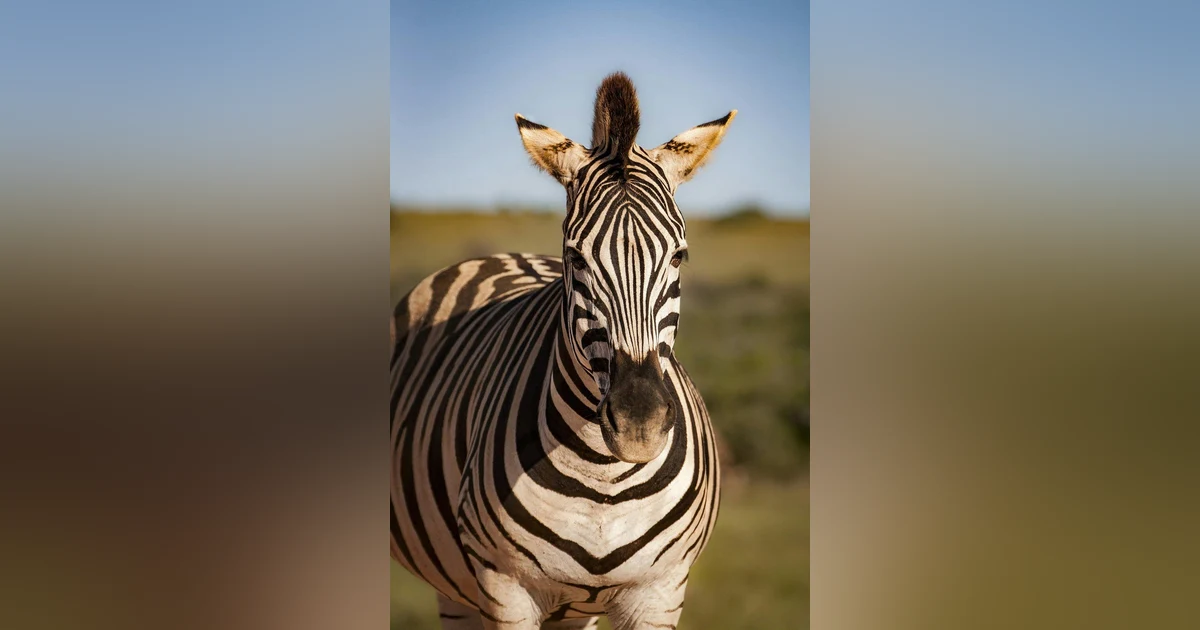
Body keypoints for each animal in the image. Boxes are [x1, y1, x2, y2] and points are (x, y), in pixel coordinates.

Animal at [391, 72, 736, 630]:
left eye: (679, 255)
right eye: (576, 258)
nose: (638, 424)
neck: (604, 478)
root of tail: (503, 255)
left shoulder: (660, 591)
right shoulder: (505, 589)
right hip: (458, 590)